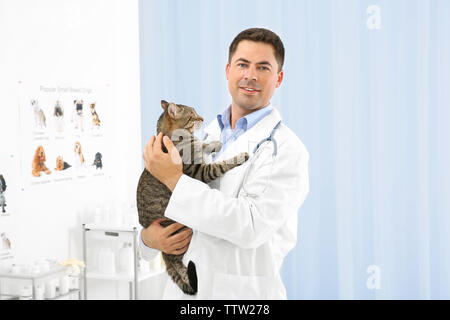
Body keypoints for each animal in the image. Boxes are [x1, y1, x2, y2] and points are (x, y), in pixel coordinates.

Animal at [137, 100, 250, 296]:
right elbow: (220, 164)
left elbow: (202, 144)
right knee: (178, 264)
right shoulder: (200, 172)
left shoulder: (198, 152)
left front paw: (214, 143)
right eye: (193, 116)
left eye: (197, 113)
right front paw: (238, 156)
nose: (203, 118)